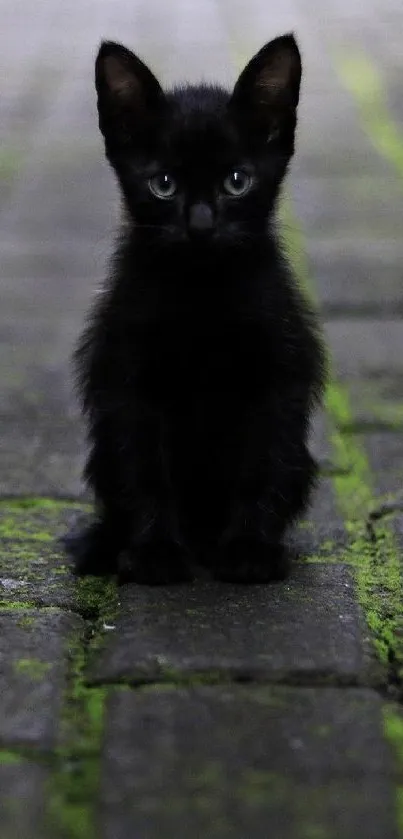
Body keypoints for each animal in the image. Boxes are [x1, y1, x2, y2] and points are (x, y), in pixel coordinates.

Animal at [68, 32, 328, 584]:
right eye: (163, 184)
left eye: (237, 181)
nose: (202, 224)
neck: (202, 293)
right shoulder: (128, 380)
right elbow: (146, 470)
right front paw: (156, 552)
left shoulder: (277, 374)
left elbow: (259, 465)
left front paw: (250, 549)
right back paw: (107, 546)